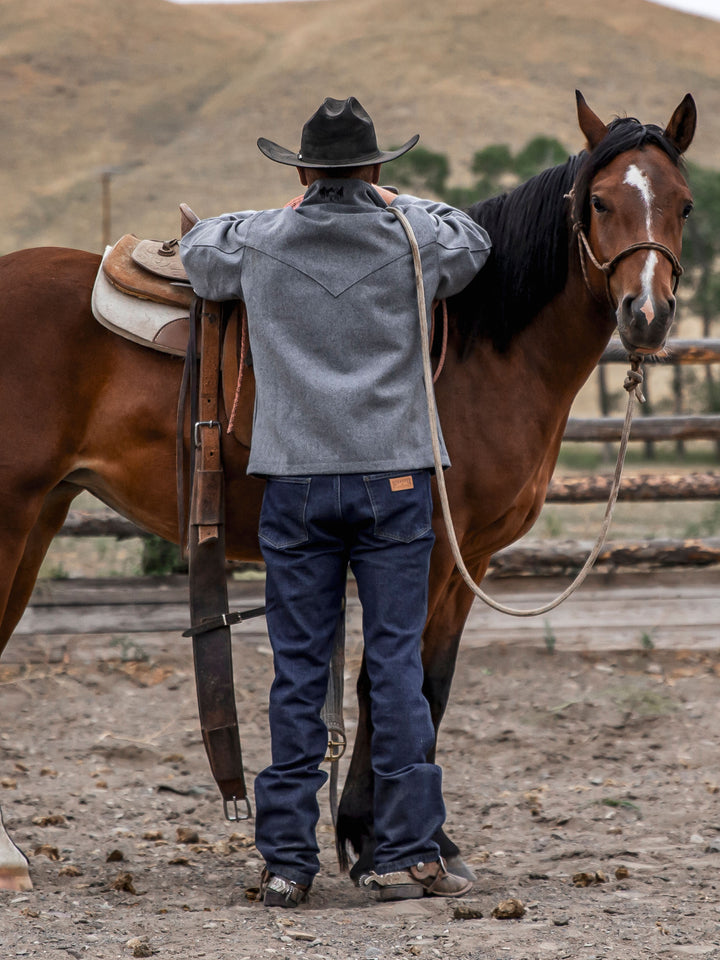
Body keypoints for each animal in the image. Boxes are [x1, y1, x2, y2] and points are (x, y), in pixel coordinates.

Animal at [0, 94, 696, 888]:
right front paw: (382, 841)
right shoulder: (425, 551)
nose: (647, 315)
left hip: (41, 516)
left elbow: (432, 683)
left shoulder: (470, 560)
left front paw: (418, 840)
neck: (481, 351)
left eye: (684, 203)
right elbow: (389, 684)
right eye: (601, 201)